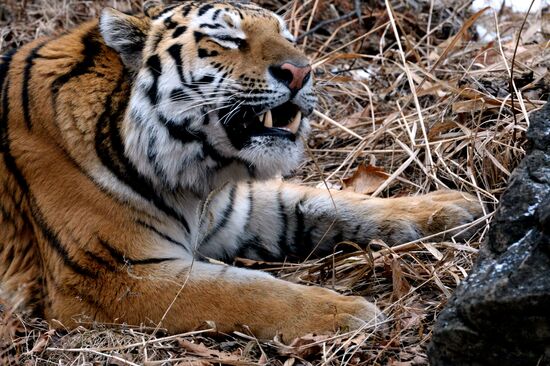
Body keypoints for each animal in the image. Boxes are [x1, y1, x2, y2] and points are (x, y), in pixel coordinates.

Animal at [0, 0, 484, 340]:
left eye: (288, 35)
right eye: (229, 39)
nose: (301, 72)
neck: (196, 182)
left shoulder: (239, 210)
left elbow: (334, 204)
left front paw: (451, 207)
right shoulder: (109, 275)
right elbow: (243, 291)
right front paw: (347, 312)